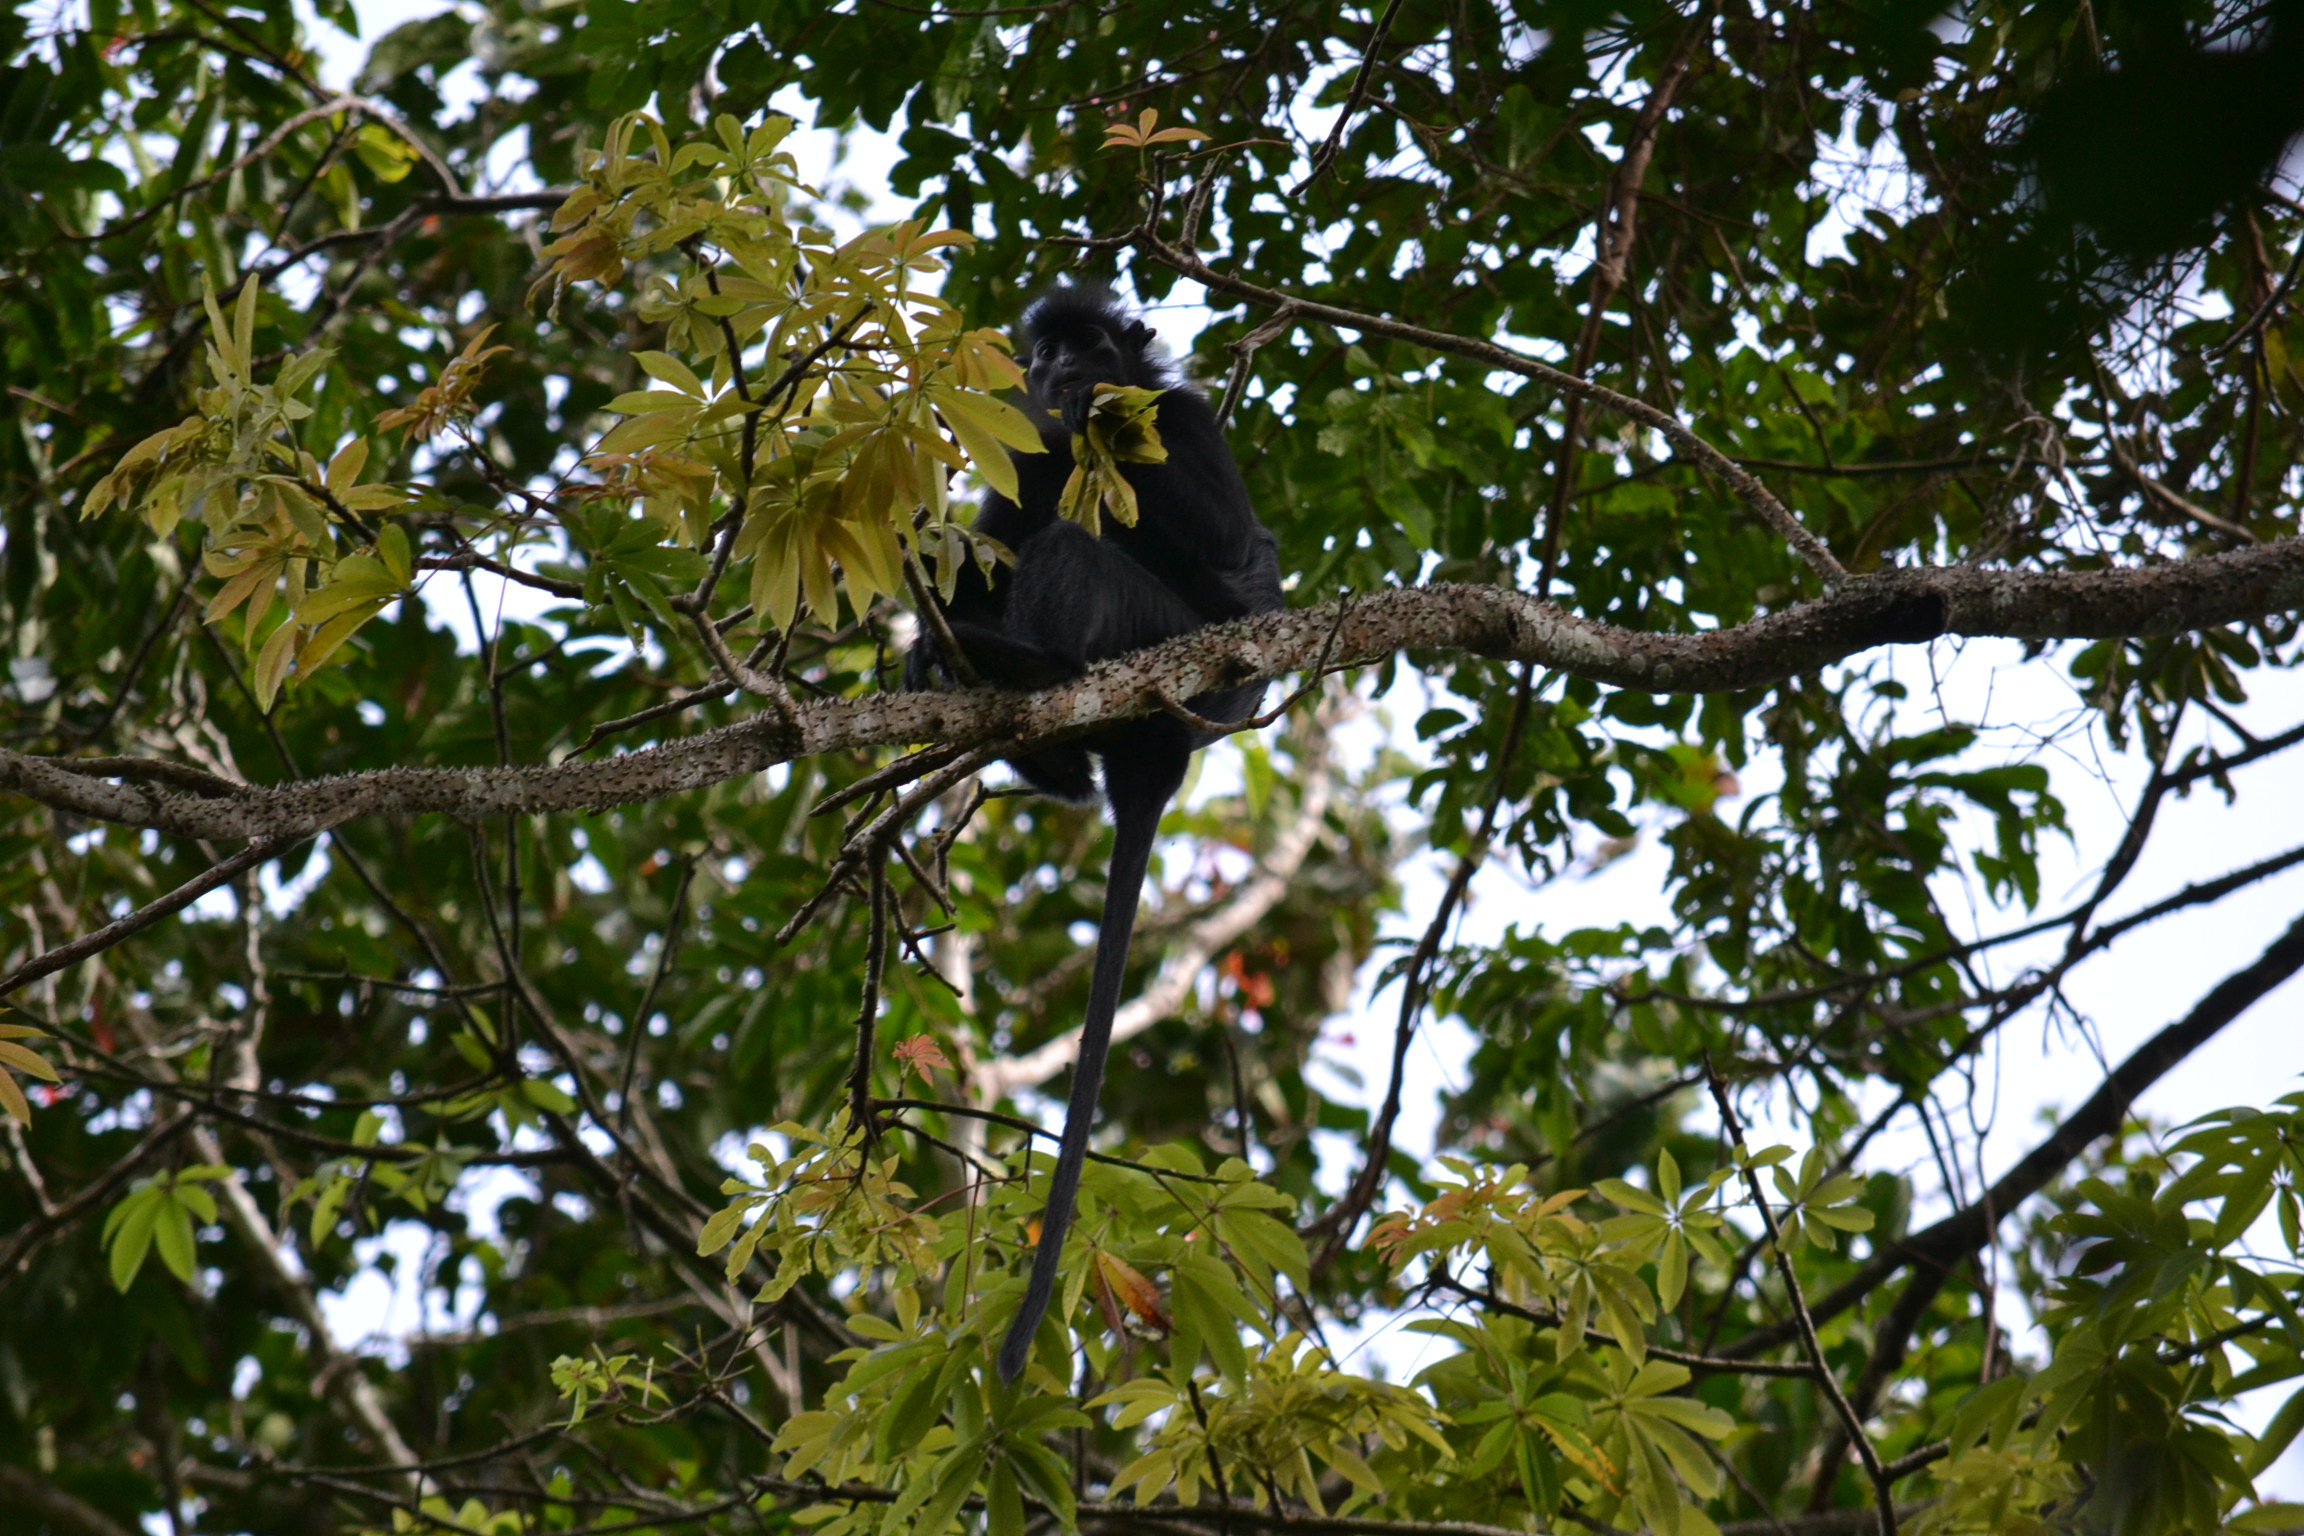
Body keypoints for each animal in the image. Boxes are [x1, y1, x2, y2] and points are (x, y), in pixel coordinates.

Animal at [905, 284, 1283, 1383]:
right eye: (1043, 355)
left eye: (1089, 346)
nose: (1060, 376)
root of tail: (1164, 756)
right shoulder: (1023, 450)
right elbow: (997, 526)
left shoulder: (1186, 419)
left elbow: (1229, 534)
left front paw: (1103, 417)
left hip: (1157, 643)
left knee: (1080, 553)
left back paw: (1031, 670)